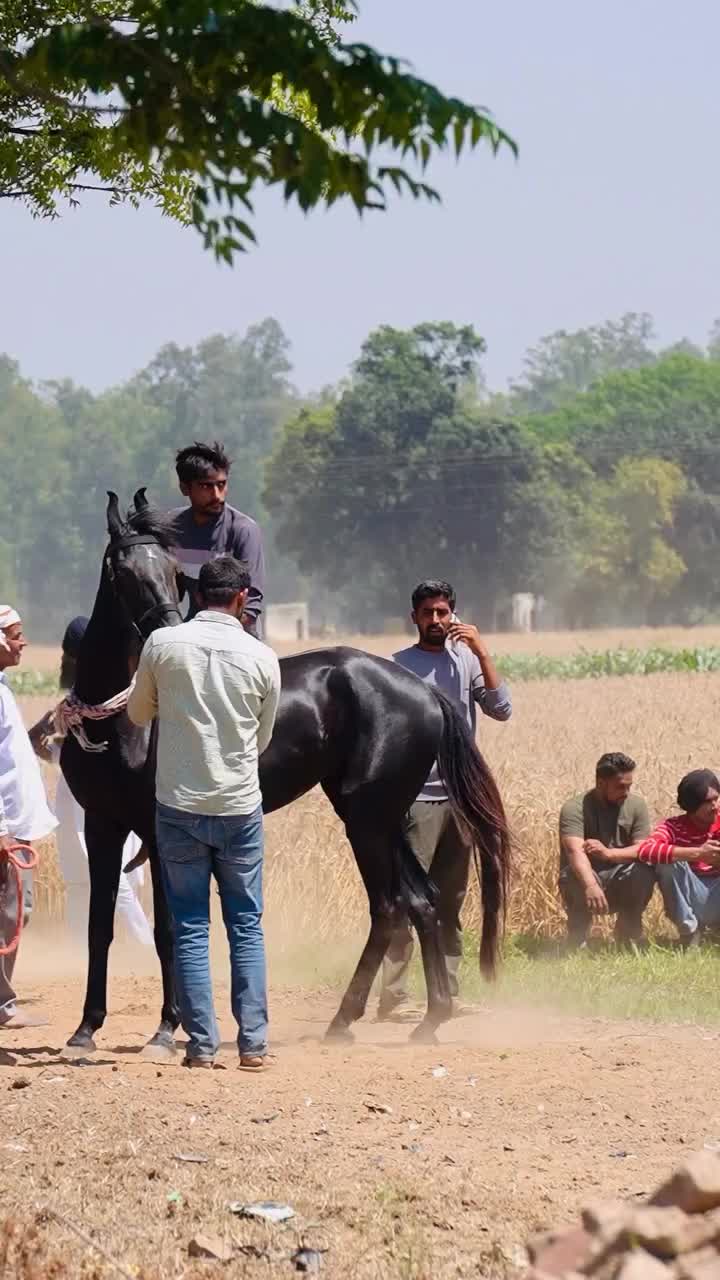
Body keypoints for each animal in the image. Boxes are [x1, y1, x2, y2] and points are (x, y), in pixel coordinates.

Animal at [61, 490, 511, 1058]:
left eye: (173, 572)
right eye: (122, 572)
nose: (164, 634)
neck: (119, 722)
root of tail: (425, 690)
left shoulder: (160, 832)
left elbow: (169, 932)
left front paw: (166, 1029)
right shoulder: (102, 824)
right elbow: (99, 926)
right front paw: (85, 1027)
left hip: (366, 820)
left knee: (389, 907)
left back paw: (345, 1018)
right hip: (383, 819)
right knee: (422, 901)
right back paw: (430, 1018)